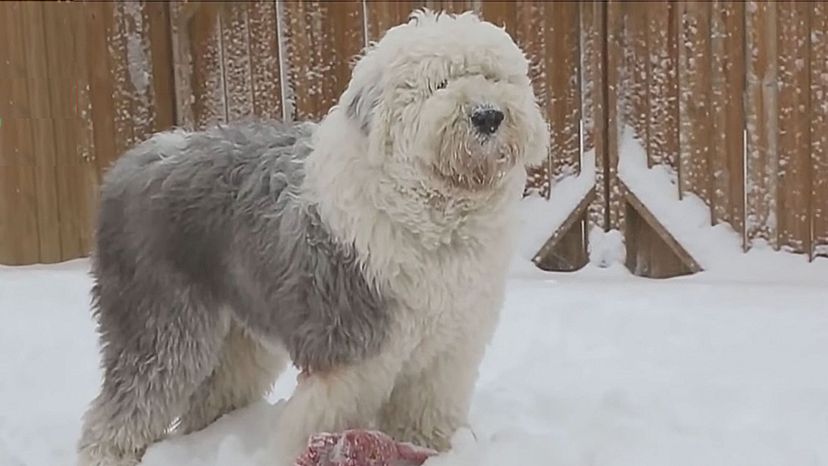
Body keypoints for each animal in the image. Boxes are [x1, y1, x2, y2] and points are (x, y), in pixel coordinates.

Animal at [77, 8, 548, 466]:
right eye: (440, 83)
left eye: (493, 77)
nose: (488, 115)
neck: (429, 210)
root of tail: (134, 160)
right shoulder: (349, 352)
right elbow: (323, 416)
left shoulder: (446, 353)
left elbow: (426, 415)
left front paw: (438, 449)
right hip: (161, 321)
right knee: (124, 407)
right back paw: (109, 455)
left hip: (236, 339)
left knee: (210, 398)